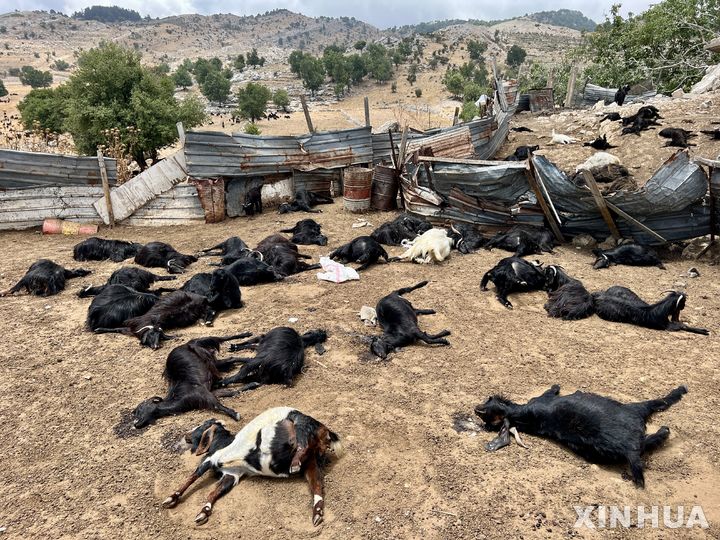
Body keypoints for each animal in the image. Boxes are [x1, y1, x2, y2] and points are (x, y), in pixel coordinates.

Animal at [162, 408, 342, 524]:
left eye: (203, 424)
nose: (186, 435)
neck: (222, 442)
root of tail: (324, 431)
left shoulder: (210, 460)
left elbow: (192, 477)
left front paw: (170, 499)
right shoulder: (232, 474)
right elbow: (213, 493)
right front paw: (202, 513)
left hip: (300, 424)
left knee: (302, 443)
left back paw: (294, 464)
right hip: (312, 463)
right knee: (317, 485)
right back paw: (317, 514)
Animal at [476, 386, 688, 488]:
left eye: (486, 403)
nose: (476, 408)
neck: (519, 415)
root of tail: (629, 450)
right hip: (636, 411)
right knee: (660, 407)